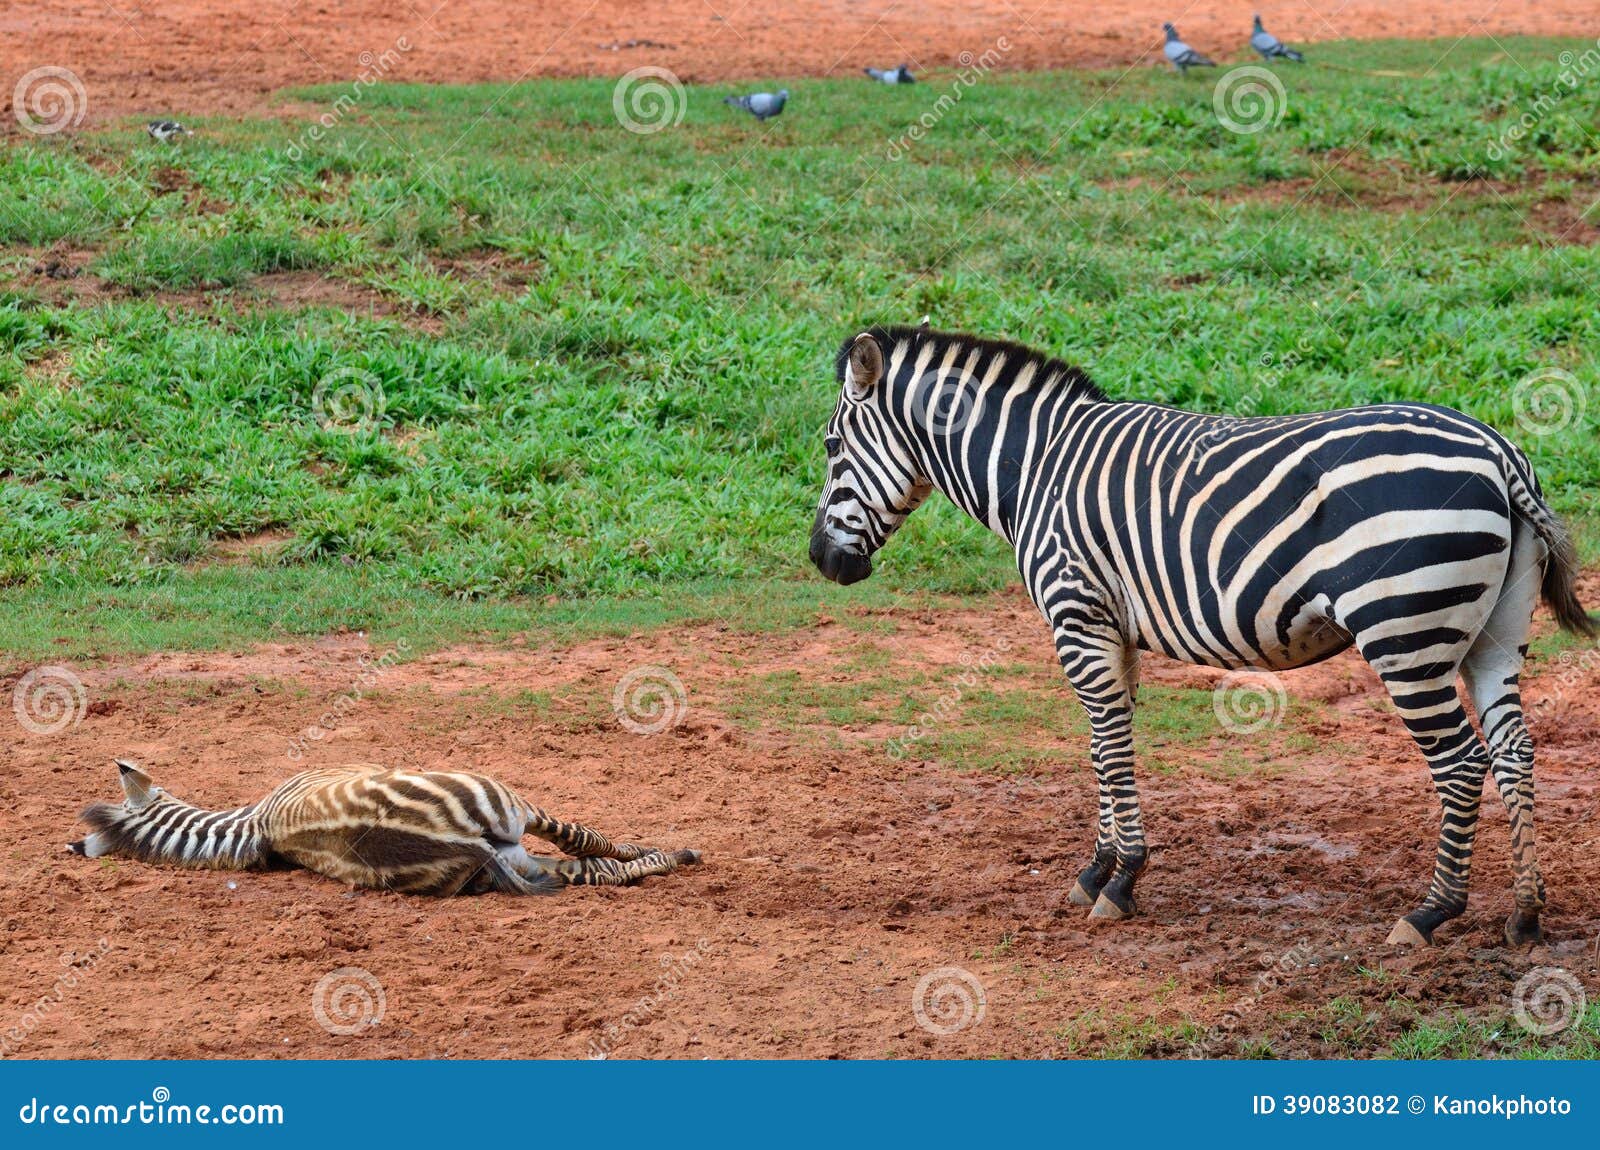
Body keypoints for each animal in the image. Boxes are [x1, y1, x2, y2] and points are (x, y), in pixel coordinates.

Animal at [810, 325, 1595, 947]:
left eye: (830, 446)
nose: (822, 561)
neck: (1036, 469)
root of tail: (1498, 452)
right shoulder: (1110, 626)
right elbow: (1104, 744)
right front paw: (1097, 870)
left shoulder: (1076, 614)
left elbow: (1109, 744)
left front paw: (1120, 881)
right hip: (1491, 635)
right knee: (1514, 752)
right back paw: (1525, 915)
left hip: (1408, 634)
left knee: (1461, 763)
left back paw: (1431, 913)